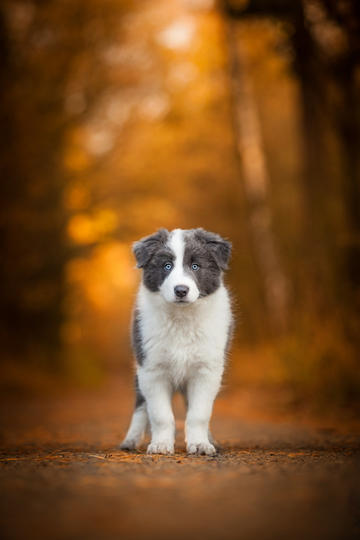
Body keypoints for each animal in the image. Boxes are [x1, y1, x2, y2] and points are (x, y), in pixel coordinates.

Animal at [120, 226, 233, 454]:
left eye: (195, 266)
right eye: (167, 266)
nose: (181, 290)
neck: (182, 319)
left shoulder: (206, 371)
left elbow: (199, 414)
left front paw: (200, 444)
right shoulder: (152, 369)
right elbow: (160, 415)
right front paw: (161, 445)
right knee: (141, 406)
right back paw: (131, 440)